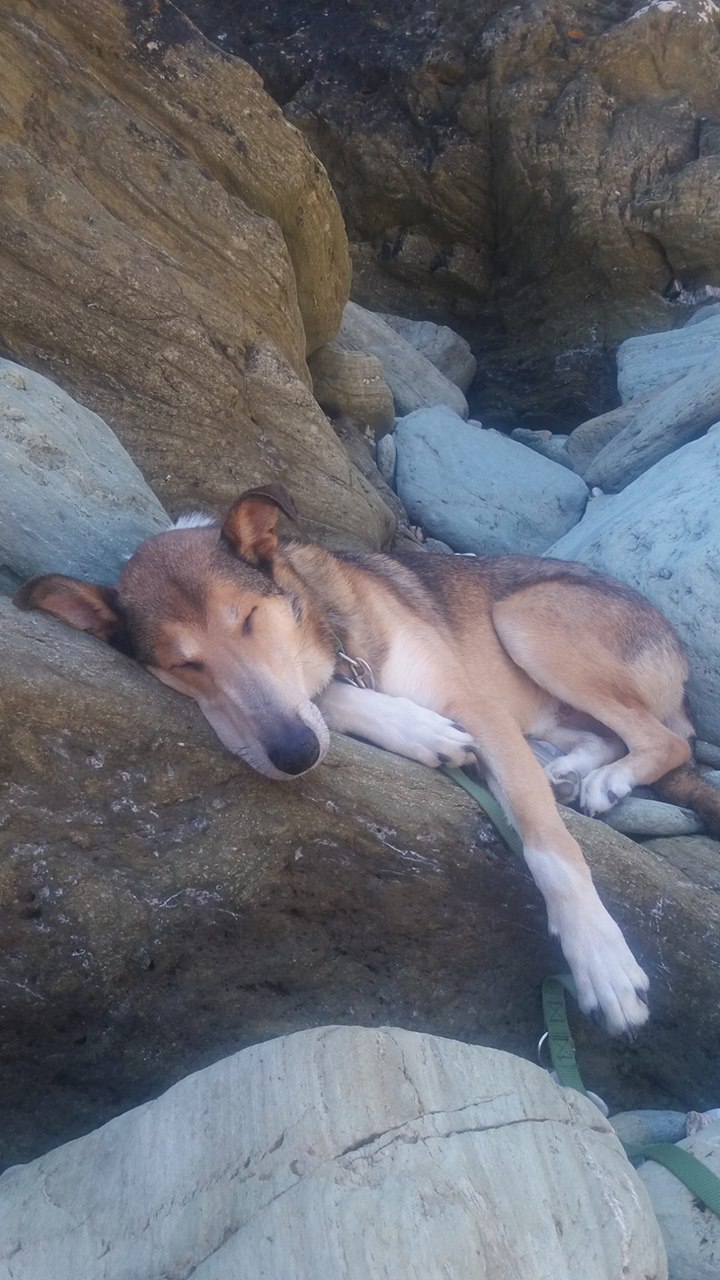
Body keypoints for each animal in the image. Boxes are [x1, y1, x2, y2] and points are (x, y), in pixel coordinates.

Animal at [15, 483, 717, 1034]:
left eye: (248, 619)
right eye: (182, 665)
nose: (293, 755)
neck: (332, 632)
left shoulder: (477, 704)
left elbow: (550, 846)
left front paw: (600, 957)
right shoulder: (330, 697)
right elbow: (333, 700)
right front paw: (419, 730)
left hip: (528, 617)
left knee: (669, 741)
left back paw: (606, 782)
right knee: (611, 737)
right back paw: (575, 773)